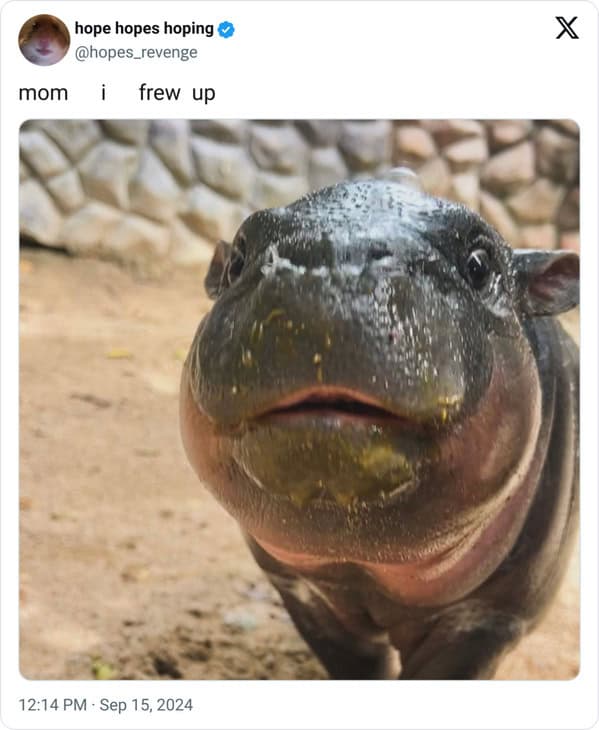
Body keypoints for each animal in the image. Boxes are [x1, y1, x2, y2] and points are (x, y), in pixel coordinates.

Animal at [180, 171, 579, 679]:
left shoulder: (490, 617)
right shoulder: (301, 592)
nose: (333, 264)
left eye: (479, 263)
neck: (365, 570)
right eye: (237, 257)